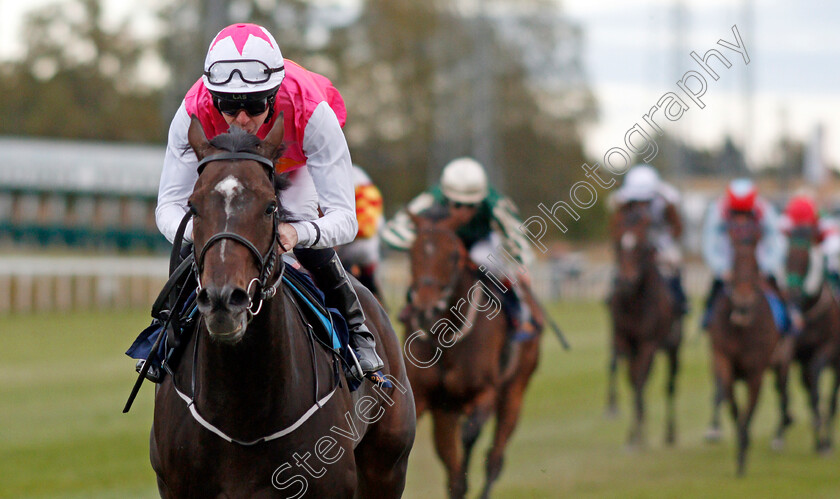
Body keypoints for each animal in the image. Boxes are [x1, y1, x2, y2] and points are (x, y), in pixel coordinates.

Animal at [404, 214, 540, 499]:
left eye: (453, 255)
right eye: (412, 252)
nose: (425, 309)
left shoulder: (485, 391)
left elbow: (470, 434)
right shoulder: (425, 398)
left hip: (515, 390)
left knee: (495, 458)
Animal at [608, 203, 684, 450]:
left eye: (641, 246)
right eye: (617, 243)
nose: (626, 281)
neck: (635, 302)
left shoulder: (648, 344)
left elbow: (640, 381)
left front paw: (638, 436)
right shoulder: (624, 342)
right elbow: (633, 381)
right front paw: (633, 434)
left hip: (673, 348)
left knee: (670, 386)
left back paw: (670, 433)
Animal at [708, 212, 780, 476]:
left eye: (756, 265)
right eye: (734, 261)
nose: (743, 300)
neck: (743, 326)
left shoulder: (756, 371)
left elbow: (749, 412)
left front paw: (743, 450)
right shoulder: (724, 361)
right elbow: (733, 405)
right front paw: (740, 452)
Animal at [776, 227, 840, 454]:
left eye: (807, 260)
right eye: (786, 257)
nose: (792, 295)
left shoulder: (827, 349)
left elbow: (817, 389)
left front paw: (823, 443)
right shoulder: (789, 349)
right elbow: (783, 386)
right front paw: (781, 430)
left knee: (831, 399)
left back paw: (826, 440)